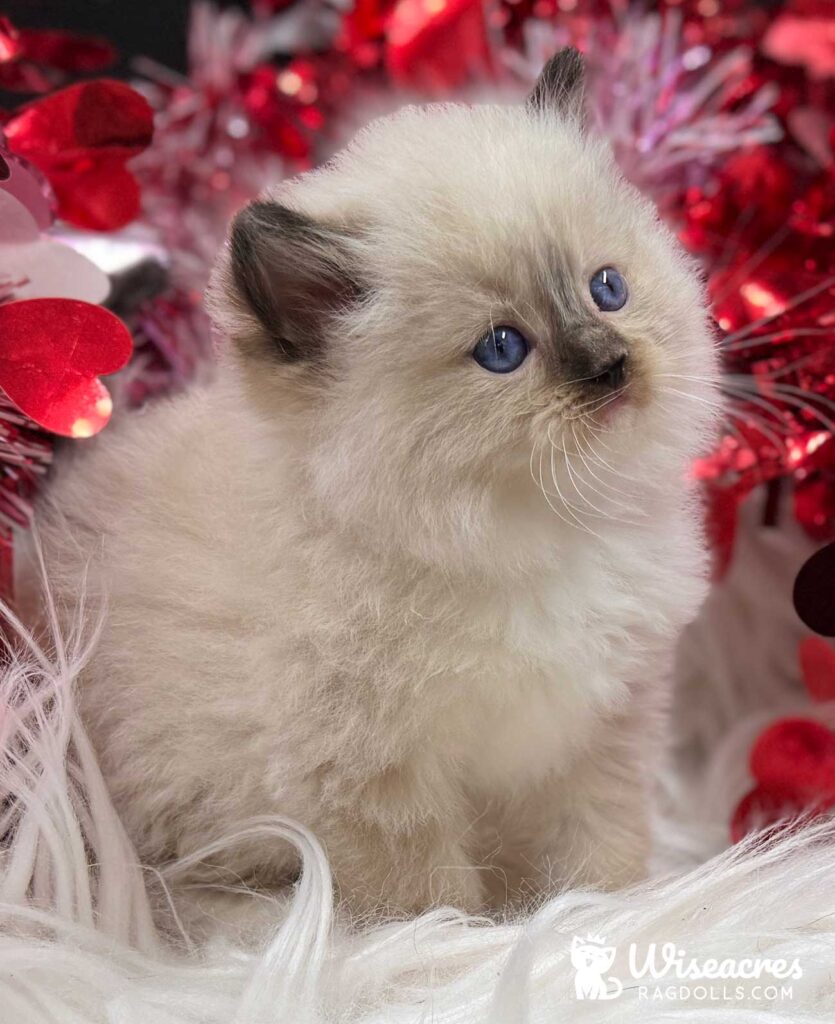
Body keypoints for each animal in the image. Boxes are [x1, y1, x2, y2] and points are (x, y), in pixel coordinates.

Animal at [32, 49, 717, 921]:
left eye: (607, 289)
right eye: (501, 349)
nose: (611, 366)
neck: (525, 531)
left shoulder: (596, 734)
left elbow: (595, 852)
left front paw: (599, 918)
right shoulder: (376, 781)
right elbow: (428, 905)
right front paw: (474, 941)